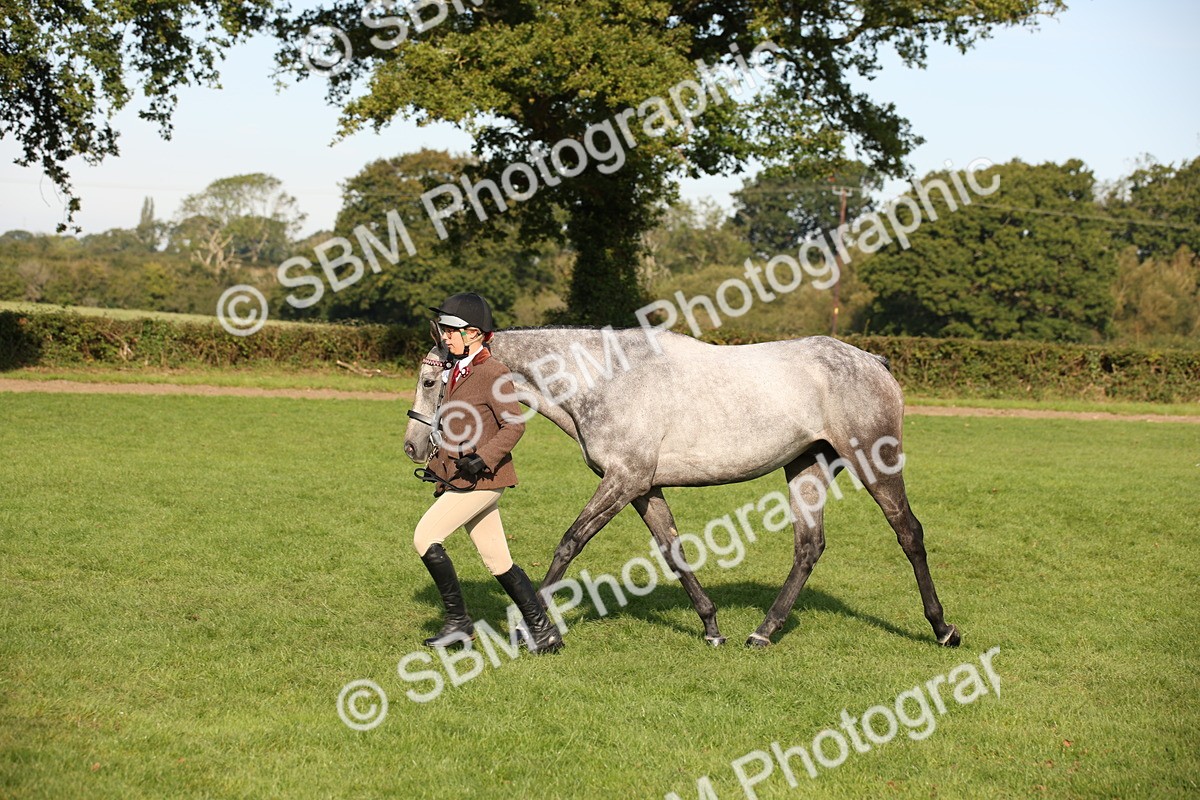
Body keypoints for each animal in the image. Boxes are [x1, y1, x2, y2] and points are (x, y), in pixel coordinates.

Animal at [403, 325, 960, 649]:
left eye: (432, 382)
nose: (412, 447)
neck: (604, 378)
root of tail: (873, 362)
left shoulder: (623, 479)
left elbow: (569, 543)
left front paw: (530, 629)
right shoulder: (641, 487)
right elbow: (673, 552)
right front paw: (711, 628)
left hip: (875, 463)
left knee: (908, 533)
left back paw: (942, 629)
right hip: (806, 467)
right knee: (809, 546)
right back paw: (762, 633)